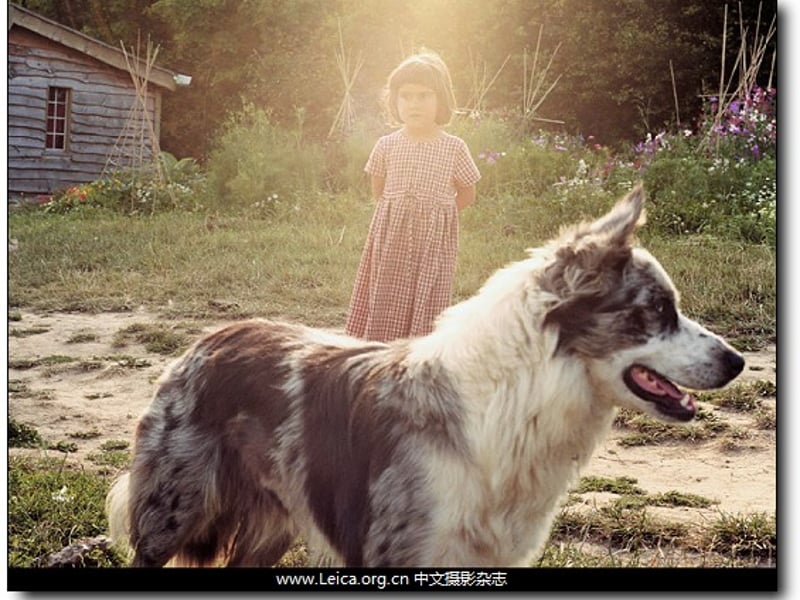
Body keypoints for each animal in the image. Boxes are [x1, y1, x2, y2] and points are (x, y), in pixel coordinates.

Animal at [106, 186, 744, 568]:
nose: (736, 362)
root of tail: (206, 339)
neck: (517, 397)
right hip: (171, 513)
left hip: (275, 521)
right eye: (657, 309)